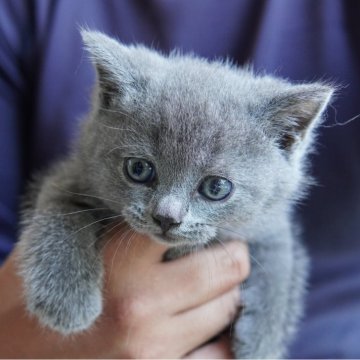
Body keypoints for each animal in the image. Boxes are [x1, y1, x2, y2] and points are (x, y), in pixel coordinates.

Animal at [17, 31, 332, 358]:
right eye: (139, 169)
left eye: (216, 188)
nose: (167, 217)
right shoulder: (73, 176)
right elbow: (61, 210)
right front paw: (66, 300)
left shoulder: (270, 221)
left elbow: (280, 262)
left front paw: (262, 339)